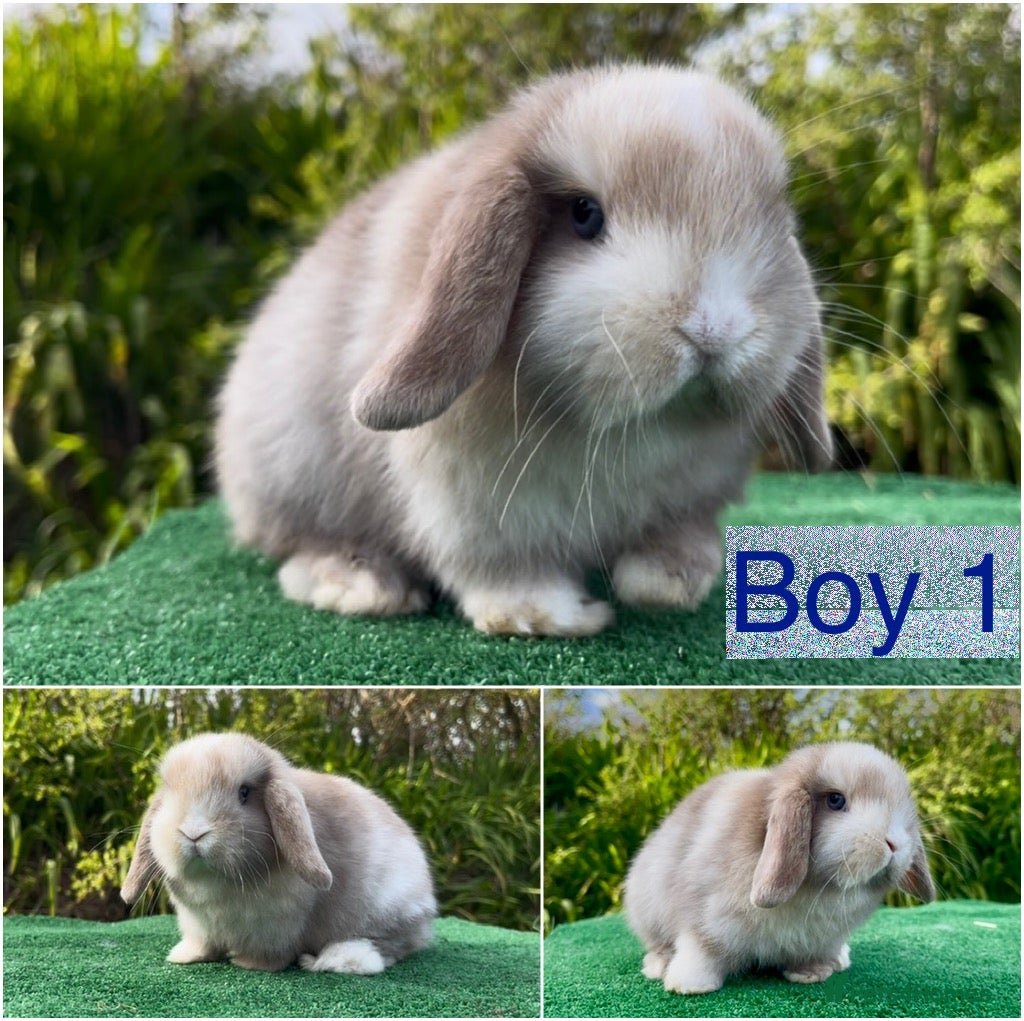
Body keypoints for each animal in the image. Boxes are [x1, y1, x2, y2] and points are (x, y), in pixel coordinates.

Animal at [121, 733, 437, 974]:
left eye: (244, 793)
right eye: (171, 793)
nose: (194, 832)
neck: (215, 881)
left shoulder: (277, 926)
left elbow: (273, 953)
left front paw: (249, 964)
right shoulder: (198, 924)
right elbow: (203, 943)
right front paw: (185, 957)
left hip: (390, 911)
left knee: (388, 946)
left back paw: (340, 957)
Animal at [214, 64, 833, 637]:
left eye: (768, 218)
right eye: (585, 214)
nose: (713, 329)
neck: (623, 435)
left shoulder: (689, 498)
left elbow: (675, 541)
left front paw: (669, 583)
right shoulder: (474, 508)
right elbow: (504, 569)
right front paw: (553, 616)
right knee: (300, 546)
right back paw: (362, 584)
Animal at [622, 742, 935, 994]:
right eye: (835, 800)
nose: (894, 843)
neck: (817, 889)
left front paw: (811, 973)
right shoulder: (704, 916)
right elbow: (701, 948)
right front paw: (689, 985)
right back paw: (658, 965)